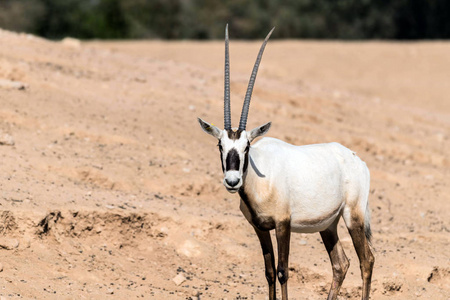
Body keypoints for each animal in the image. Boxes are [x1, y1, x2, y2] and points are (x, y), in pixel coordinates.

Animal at [197, 25, 372, 300]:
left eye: (247, 146)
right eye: (220, 146)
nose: (232, 181)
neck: (260, 179)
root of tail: (357, 160)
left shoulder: (283, 223)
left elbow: (282, 271)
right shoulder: (260, 227)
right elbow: (269, 272)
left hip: (353, 216)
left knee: (366, 261)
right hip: (329, 225)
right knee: (341, 264)